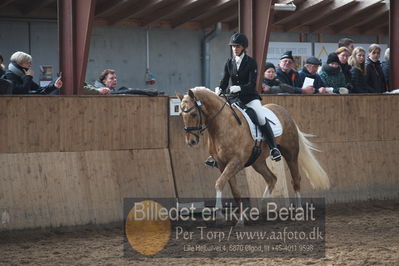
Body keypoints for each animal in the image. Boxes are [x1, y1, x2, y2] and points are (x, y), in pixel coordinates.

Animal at [178, 88, 332, 224]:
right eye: (181, 115)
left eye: (193, 114)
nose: (191, 141)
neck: (223, 125)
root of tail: (283, 111)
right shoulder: (222, 164)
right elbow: (234, 191)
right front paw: (240, 219)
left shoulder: (236, 162)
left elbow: (219, 183)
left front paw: (219, 214)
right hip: (258, 162)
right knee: (271, 179)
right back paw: (257, 211)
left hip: (291, 153)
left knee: (296, 179)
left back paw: (299, 212)